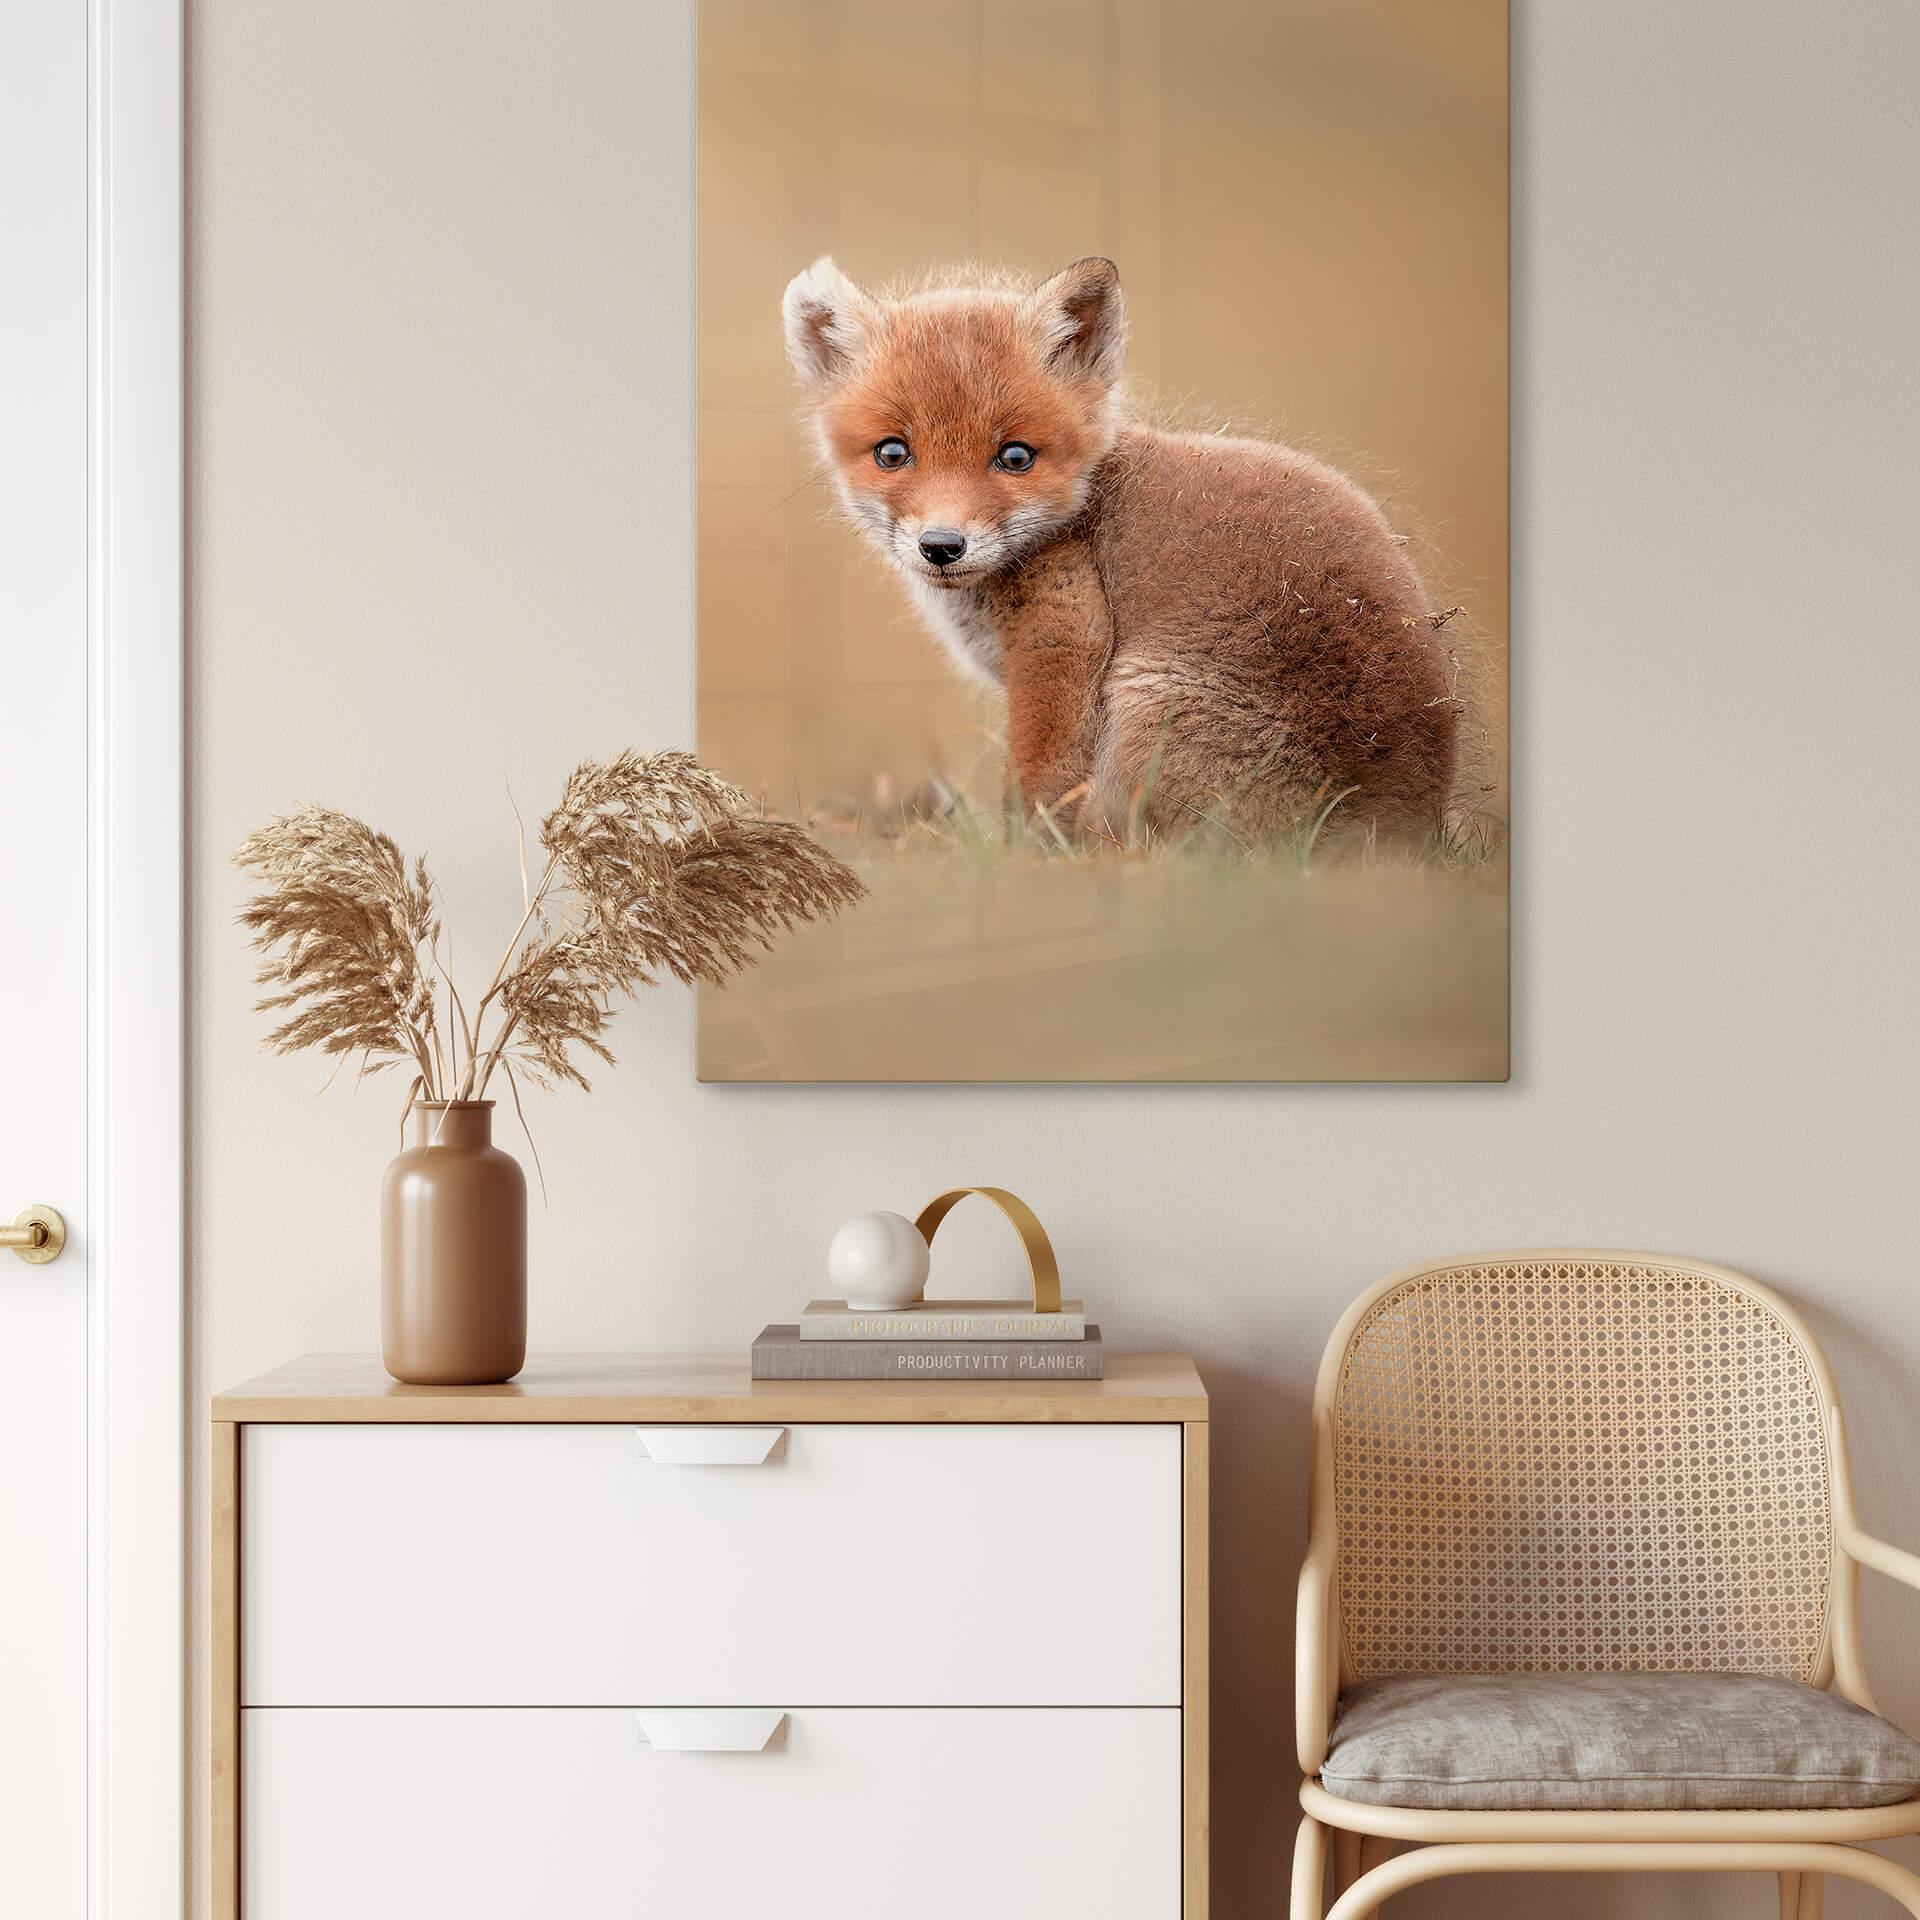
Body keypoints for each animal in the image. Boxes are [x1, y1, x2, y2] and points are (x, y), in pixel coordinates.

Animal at [781, 254, 1463, 848]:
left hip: (1143, 709)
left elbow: (1037, 789)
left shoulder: (1064, 639)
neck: (1080, 513)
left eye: (1016, 457)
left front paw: (1019, 869)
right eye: (893, 453)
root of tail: (1400, 828)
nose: (942, 546)